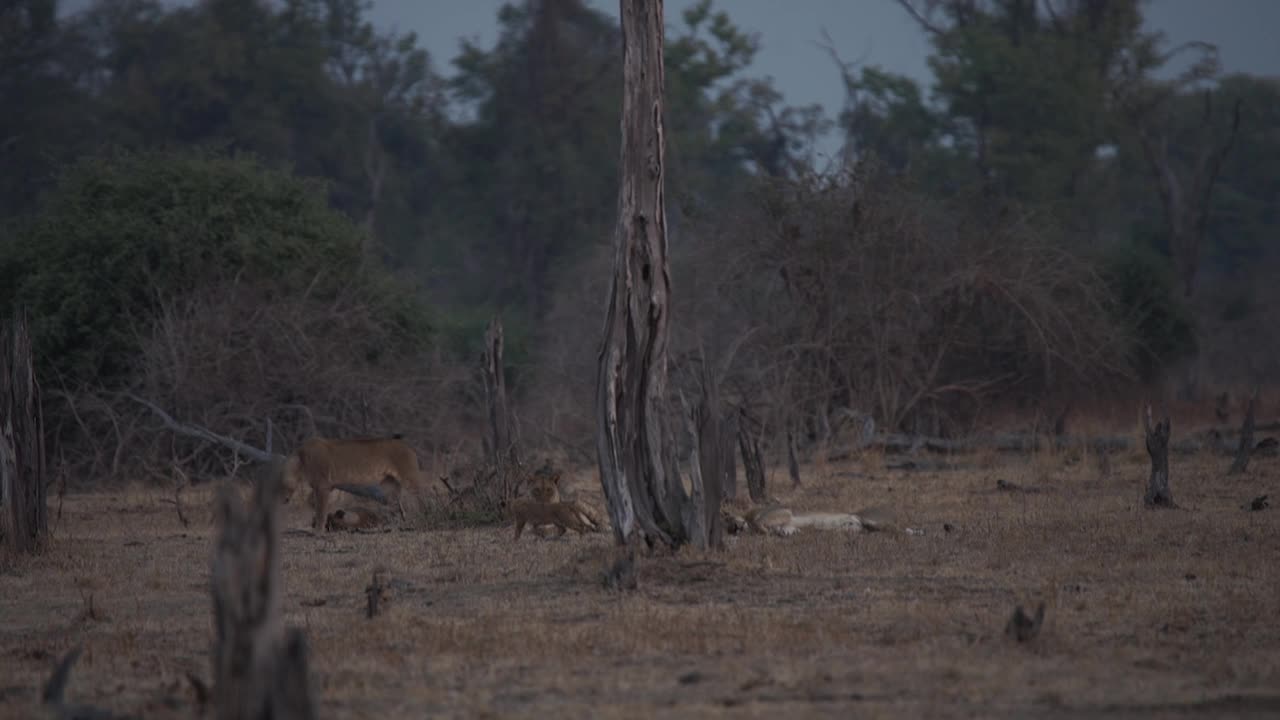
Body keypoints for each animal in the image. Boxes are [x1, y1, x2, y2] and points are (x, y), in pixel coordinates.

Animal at [281, 430, 424, 527]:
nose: (282, 501)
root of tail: (407, 445)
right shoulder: (323, 488)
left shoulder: (323, 486)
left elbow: (320, 511)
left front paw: (318, 531)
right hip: (389, 484)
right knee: (397, 506)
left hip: (409, 477)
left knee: (421, 495)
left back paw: (424, 513)